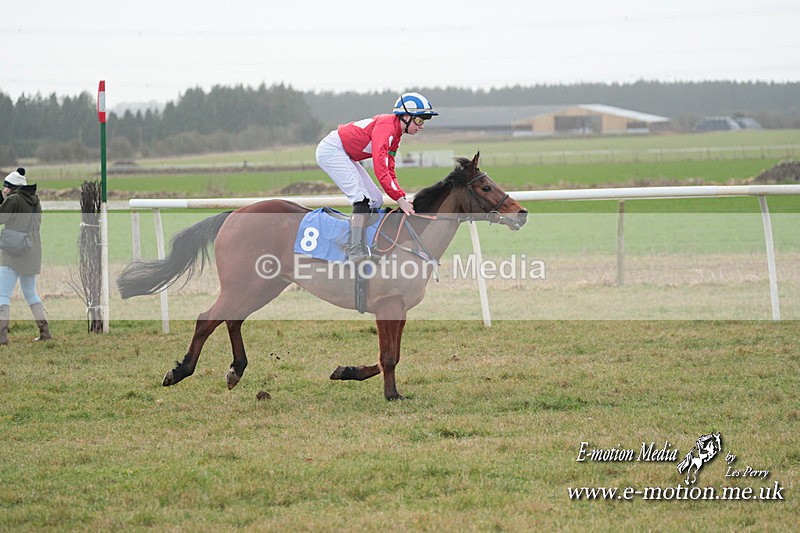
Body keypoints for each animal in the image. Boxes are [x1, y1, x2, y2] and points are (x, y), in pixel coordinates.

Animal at [117, 152, 528, 400]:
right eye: (486, 186)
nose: (522, 212)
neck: (410, 239)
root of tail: (233, 213)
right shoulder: (387, 306)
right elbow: (388, 357)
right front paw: (392, 395)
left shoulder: (398, 309)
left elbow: (388, 356)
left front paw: (345, 371)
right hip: (244, 283)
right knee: (207, 319)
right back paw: (180, 371)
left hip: (264, 284)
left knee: (232, 319)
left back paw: (236, 370)